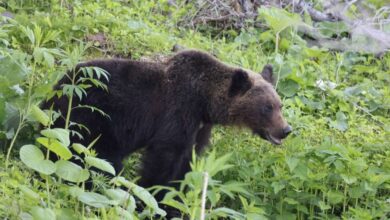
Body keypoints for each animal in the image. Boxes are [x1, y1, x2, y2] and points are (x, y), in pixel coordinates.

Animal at [45, 49, 290, 189]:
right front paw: (151, 193)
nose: (286, 130)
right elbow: (165, 157)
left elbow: (188, 161)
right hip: (91, 116)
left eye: (280, 105)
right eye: (267, 107)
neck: (205, 102)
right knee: (95, 158)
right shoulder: (177, 111)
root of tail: (57, 88)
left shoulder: (200, 128)